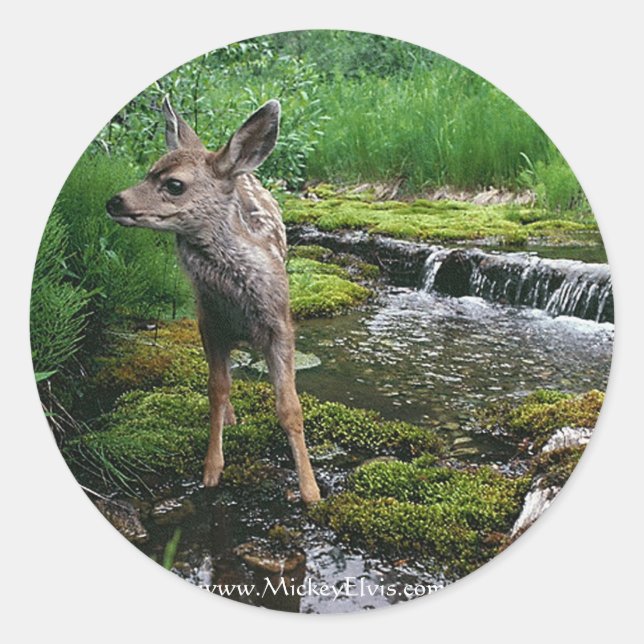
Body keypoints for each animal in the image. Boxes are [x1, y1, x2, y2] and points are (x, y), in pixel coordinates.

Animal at [106, 97, 321, 503]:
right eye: (148, 171)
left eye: (174, 184)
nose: (114, 200)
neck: (236, 300)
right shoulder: (209, 322)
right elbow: (216, 389)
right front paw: (211, 470)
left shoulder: (280, 324)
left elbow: (290, 407)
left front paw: (310, 490)